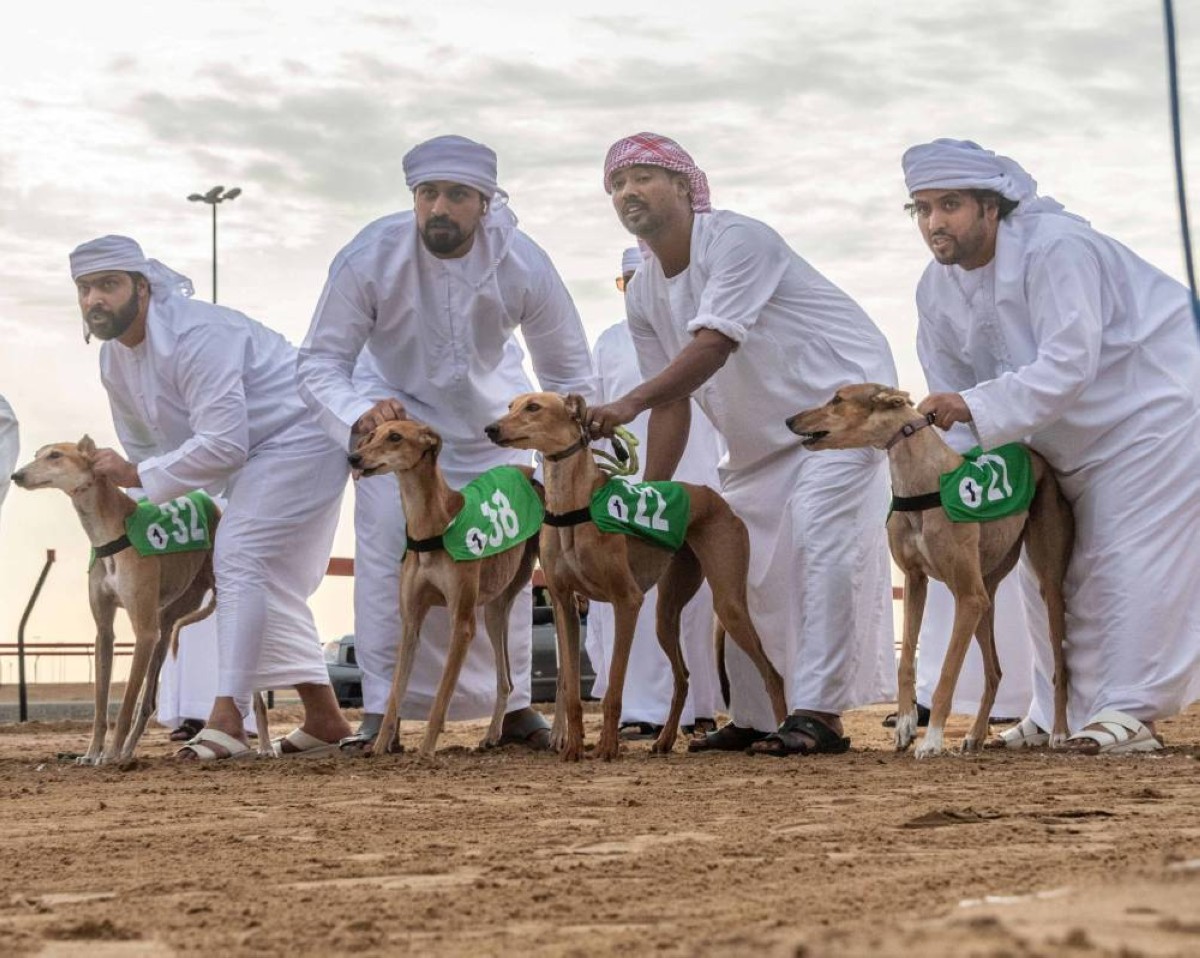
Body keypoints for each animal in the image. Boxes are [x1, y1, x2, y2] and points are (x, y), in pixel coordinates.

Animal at [9, 437, 264, 764]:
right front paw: (92, 754)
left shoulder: (143, 632)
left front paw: (110, 754)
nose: (16, 475)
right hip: (167, 626)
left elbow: (127, 702)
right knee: (149, 701)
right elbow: (101, 704)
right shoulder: (105, 632)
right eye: (37, 454)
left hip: (221, 607)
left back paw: (266, 746)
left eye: (55, 455)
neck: (110, 531)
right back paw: (131, 750)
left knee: (254, 691)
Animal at [349, 419, 539, 759]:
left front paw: (425, 751)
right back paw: (492, 735)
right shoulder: (411, 621)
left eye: (395, 437)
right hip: (495, 610)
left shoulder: (462, 623)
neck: (433, 526)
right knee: (505, 680)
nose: (354, 458)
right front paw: (381, 746)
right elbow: (395, 692)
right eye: (370, 436)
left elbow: (441, 696)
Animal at [485, 392, 787, 761]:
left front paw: (608, 747)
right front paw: (572, 748)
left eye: (534, 407)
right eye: (511, 406)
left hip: (728, 603)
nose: (491, 428)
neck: (573, 506)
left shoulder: (627, 601)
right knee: (683, 677)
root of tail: (713, 496)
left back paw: (781, 735)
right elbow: (570, 689)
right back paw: (665, 740)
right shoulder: (564, 604)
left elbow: (614, 687)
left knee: (772, 675)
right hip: (666, 613)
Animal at [786, 384, 1073, 757]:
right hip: (986, 595)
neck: (923, 481)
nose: (789, 419)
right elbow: (906, 659)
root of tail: (1037, 457)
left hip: (1044, 585)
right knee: (994, 671)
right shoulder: (916, 582)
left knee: (1059, 667)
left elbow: (947, 674)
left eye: (837, 399)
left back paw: (1060, 733)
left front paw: (932, 739)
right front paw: (906, 726)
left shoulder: (966, 596)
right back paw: (976, 735)